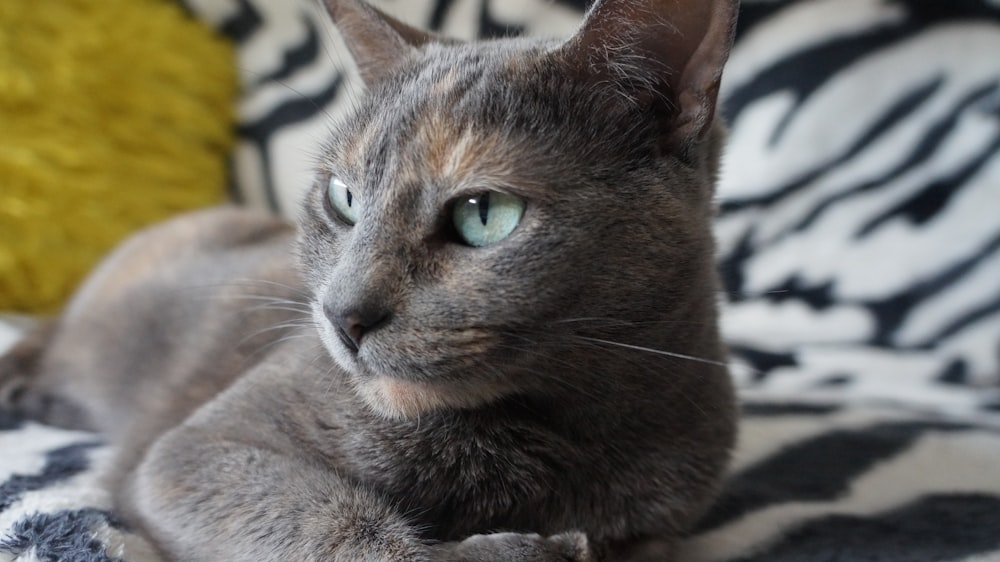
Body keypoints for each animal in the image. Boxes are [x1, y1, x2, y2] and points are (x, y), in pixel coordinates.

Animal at [1, 0, 744, 556]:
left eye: (485, 214)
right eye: (344, 199)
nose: (342, 314)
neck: (549, 434)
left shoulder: (661, 522)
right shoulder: (191, 453)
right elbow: (340, 530)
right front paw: (517, 549)